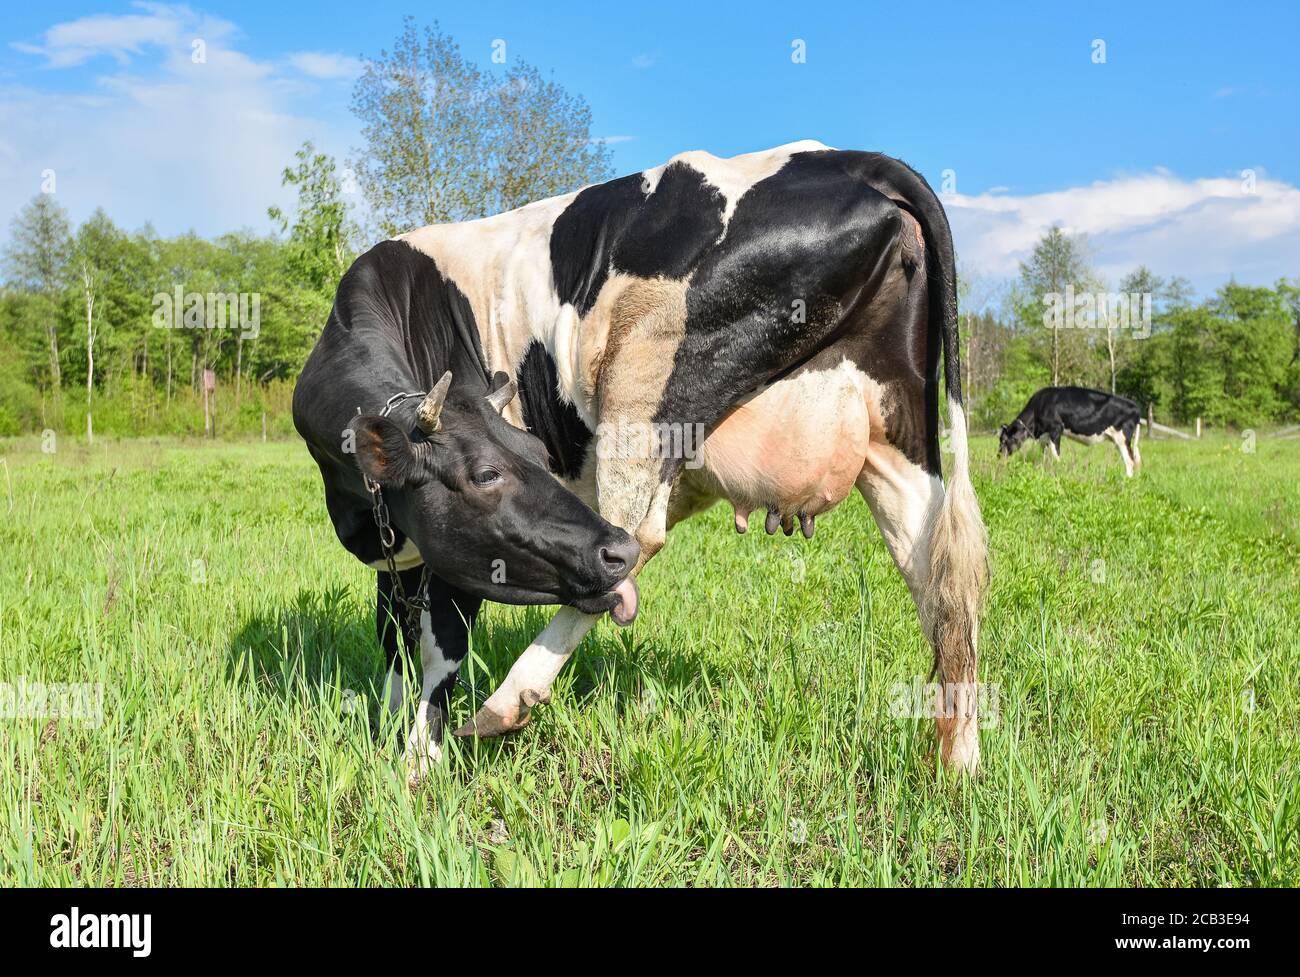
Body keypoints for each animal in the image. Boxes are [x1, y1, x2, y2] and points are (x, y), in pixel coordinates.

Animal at [294, 141, 990, 776]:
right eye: (490, 471)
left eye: (527, 456)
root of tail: (846, 157)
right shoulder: (396, 548)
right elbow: (393, 636)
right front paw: (389, 730)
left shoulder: (454, 548)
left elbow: (442, 647)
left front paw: (418, 761)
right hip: (896, 431)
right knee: (939, 577)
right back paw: (958, 767)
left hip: (641, 383)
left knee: (637, 536)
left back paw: (508, 700)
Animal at [999, 386, 1142, 477]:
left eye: (1004, 440)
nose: (998, 456)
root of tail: (1135, 407)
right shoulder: (1045, 437)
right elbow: (1044, 456)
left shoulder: (1056, 429)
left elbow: (1056, 455)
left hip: (1122, 438)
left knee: (1129, 462)